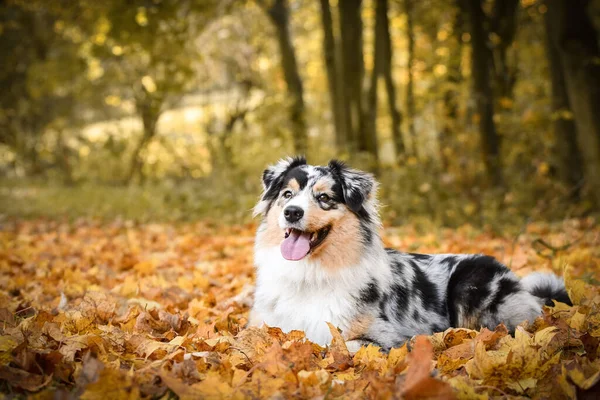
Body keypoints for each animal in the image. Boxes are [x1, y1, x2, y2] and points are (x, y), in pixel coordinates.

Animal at [248, 158, 572, 352]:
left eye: (324, 198)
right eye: (287, 195)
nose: (292, 213)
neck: (308, 274)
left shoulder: (384, 336)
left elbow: (341, 344)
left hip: (473, 283)